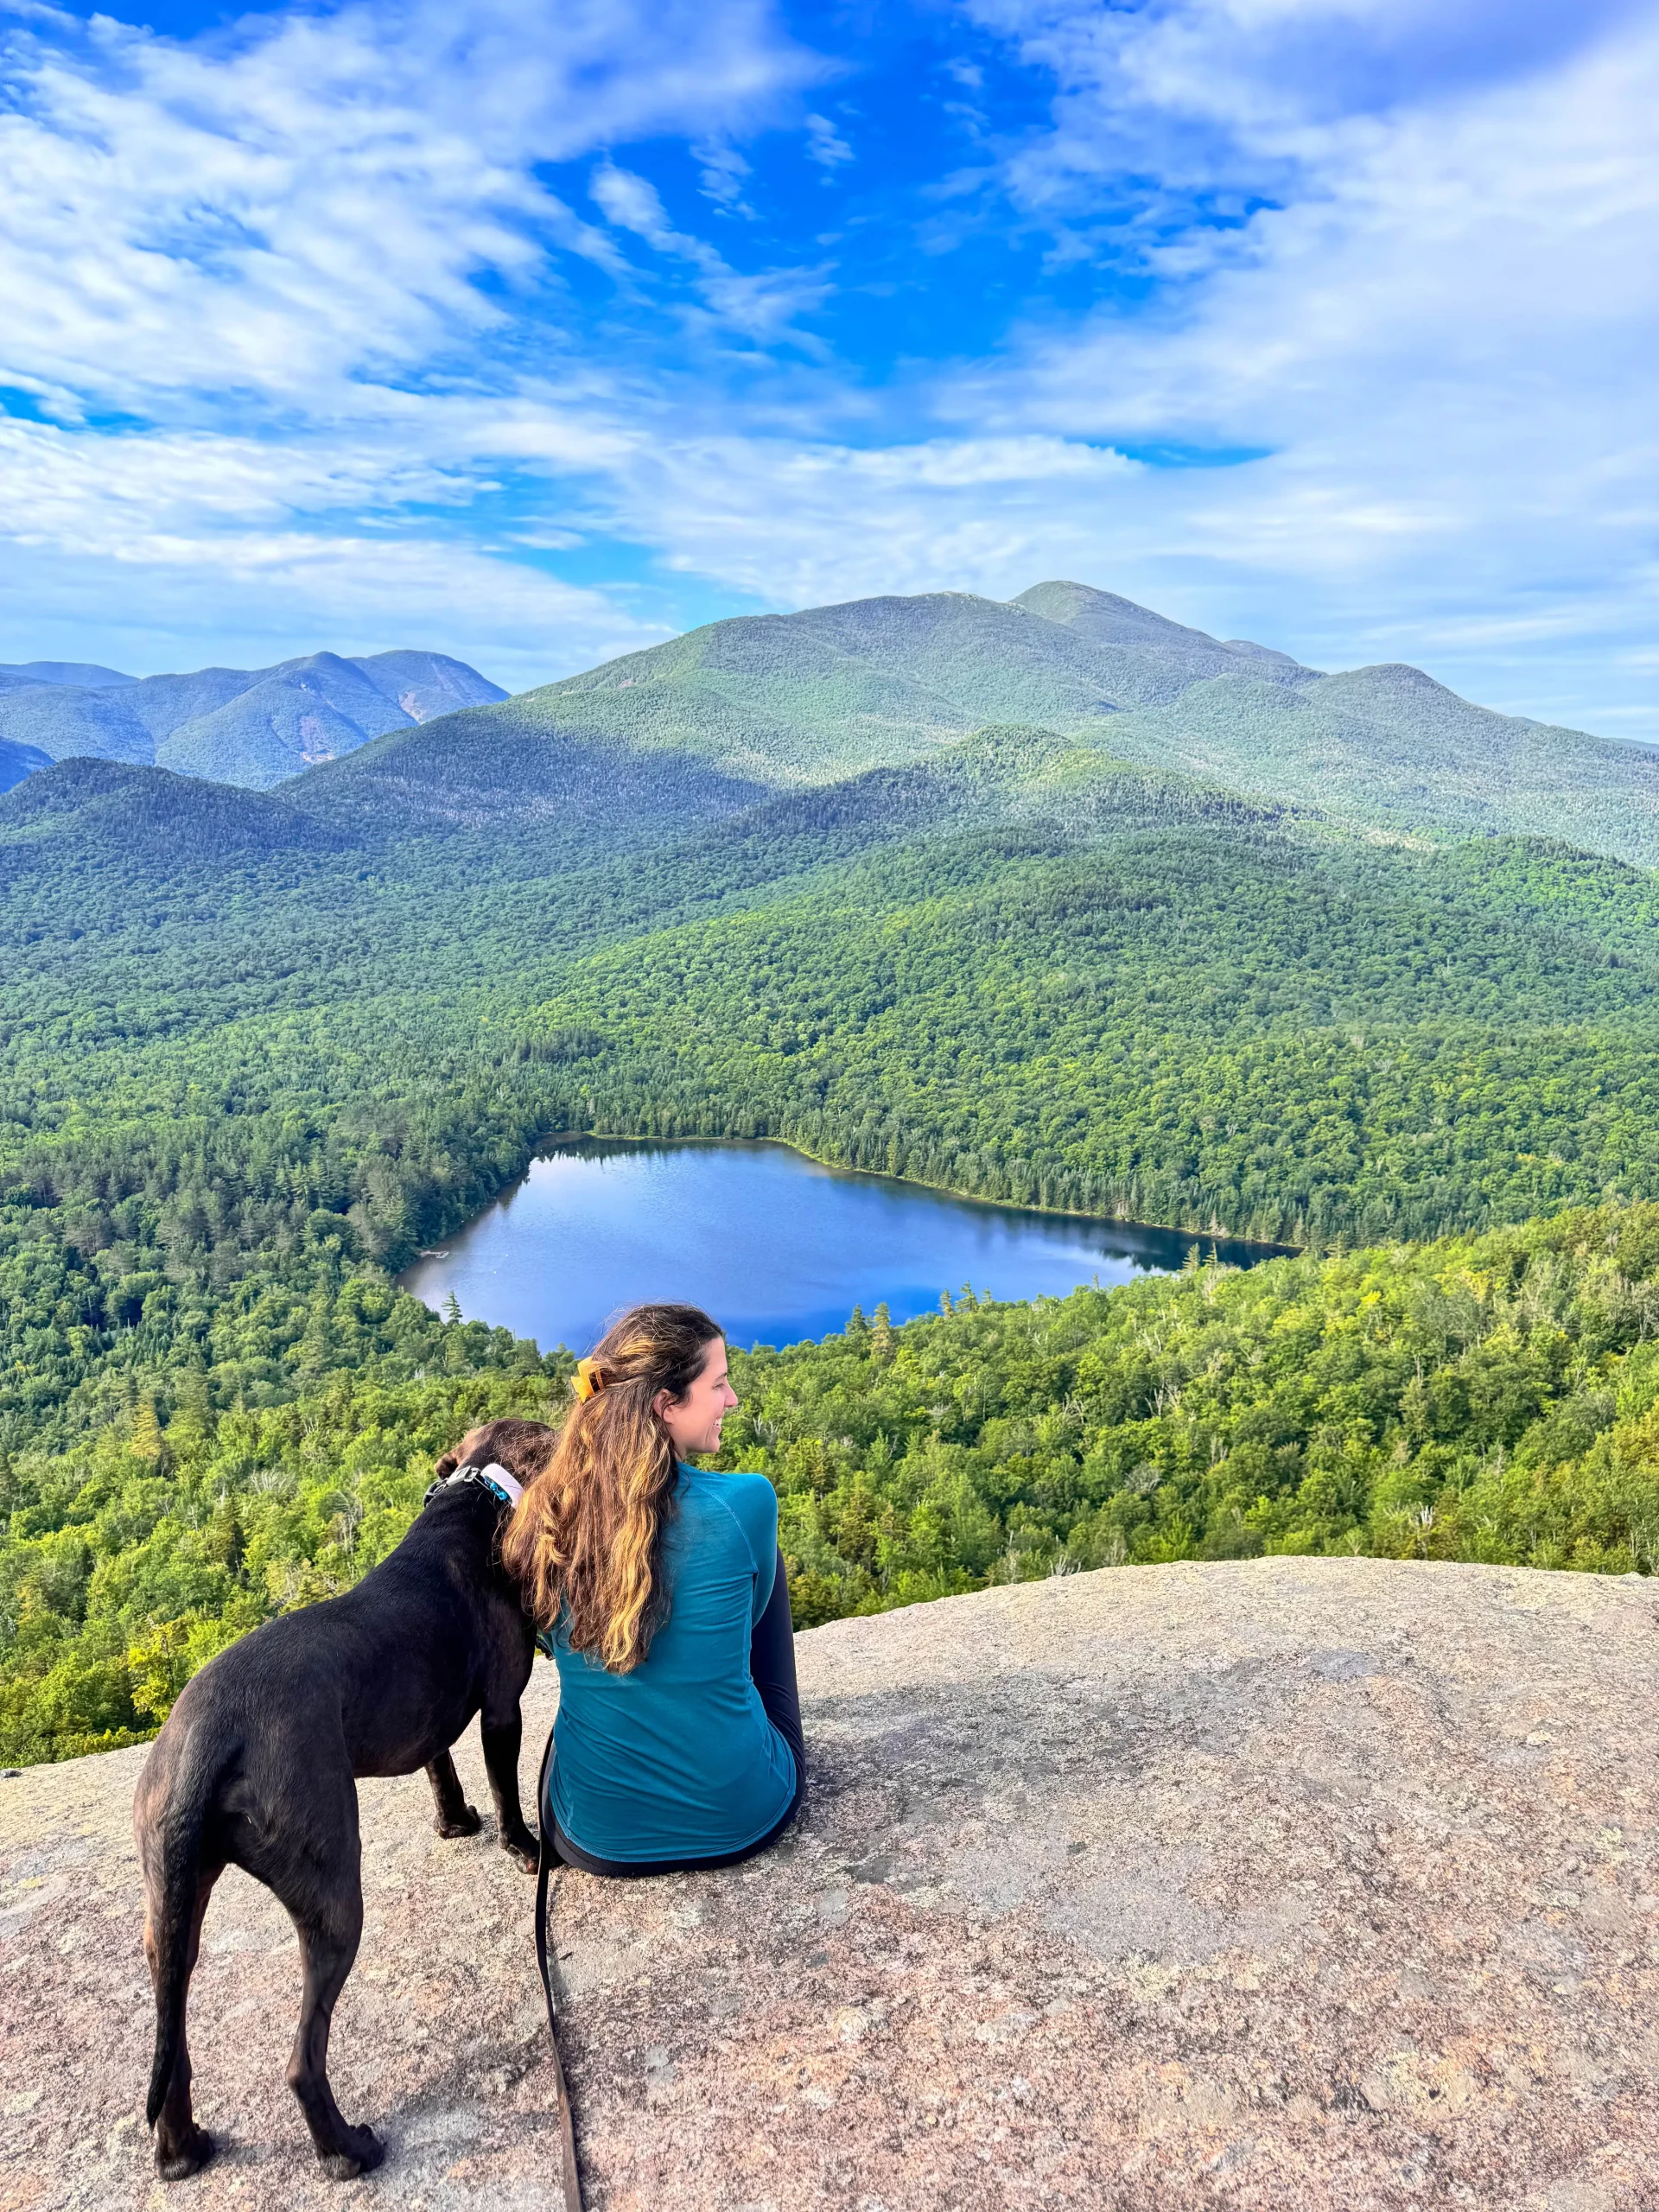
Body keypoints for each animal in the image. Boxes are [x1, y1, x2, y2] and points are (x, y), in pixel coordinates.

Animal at [135, 1415, 553, 2177]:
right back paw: (349, 2151)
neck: (472, 1499)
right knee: (302, 2061)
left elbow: (441, 1772)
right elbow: (506, 1788)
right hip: (331, 1890)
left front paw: (456, 1823)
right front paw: (523, 1847)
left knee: (173, 2045)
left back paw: (182, 2153)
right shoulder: (504, 1705)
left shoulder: (424, 1717)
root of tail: (210, 1737)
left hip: (171, 1902)